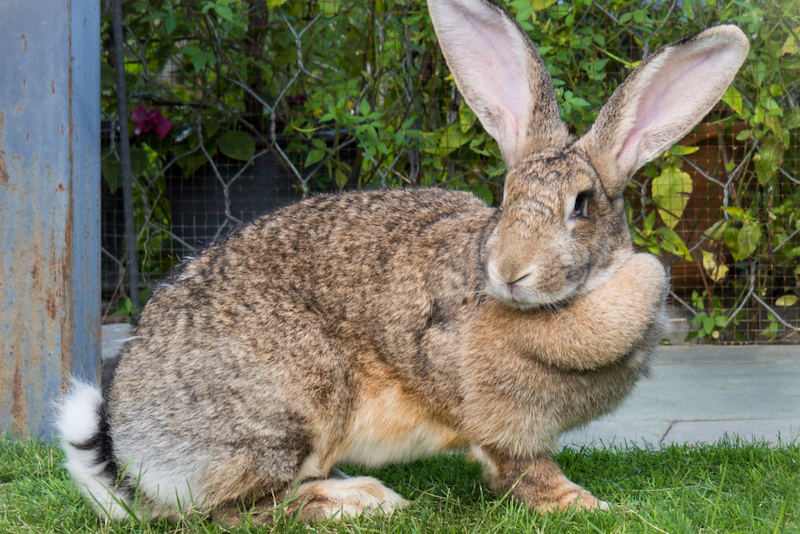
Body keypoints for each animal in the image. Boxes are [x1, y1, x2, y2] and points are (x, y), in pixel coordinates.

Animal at [58, 0, 749, 524]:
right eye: (505, 198)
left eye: (582, 206)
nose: (510, 272)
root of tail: (135, 451)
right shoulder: (499, 422)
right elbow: (526, 472)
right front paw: (591, 506)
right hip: (288, 404)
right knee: (233, 512)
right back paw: (358, 502)